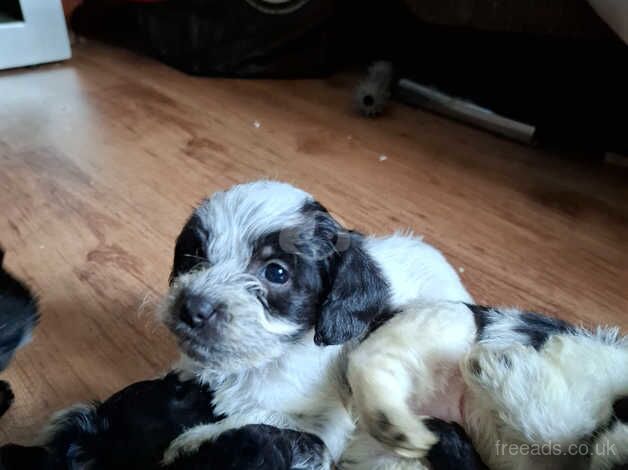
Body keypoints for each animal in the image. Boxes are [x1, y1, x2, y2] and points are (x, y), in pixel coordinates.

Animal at [157, 181, 472, 466]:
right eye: (195, 253)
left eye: (276, 272)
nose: (192, 308)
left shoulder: (326, 424)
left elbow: (261, 417)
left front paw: (195, 438)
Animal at [328, 302, 628, 470]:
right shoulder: (594, 362)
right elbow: (565, 419)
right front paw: (500, 364)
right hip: (445, 326)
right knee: (374, 360)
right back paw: (392, 421)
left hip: (394, 462)